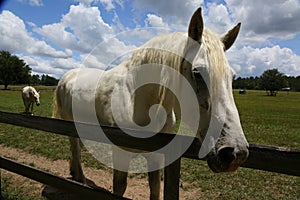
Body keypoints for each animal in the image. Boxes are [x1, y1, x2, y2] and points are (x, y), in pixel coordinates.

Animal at [53, 7, 248, 200]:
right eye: (197, 73)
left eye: (232, 76)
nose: (235, 153)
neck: (137, 102)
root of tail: (66, 77)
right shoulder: (121, 154)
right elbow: (119, 187)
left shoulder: (156, 155)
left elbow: (155, 188)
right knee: (75, 149)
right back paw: (80, 178)